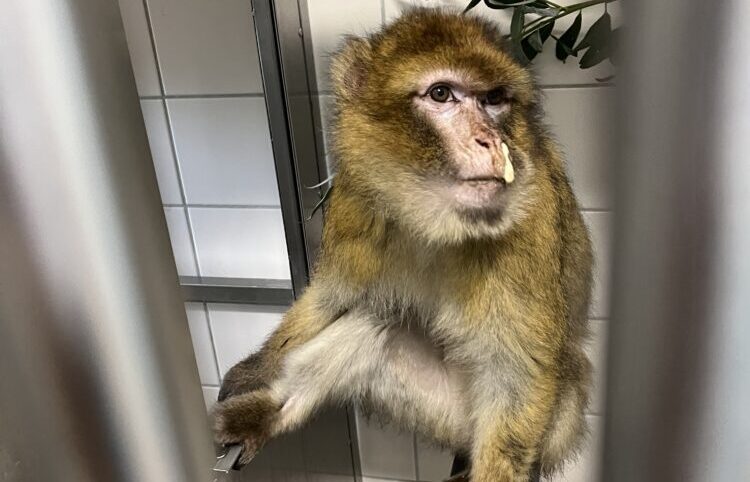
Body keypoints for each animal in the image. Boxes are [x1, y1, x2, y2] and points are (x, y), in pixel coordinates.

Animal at [213, 8, 594, 482]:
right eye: (441, 93)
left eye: (494, 99)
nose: (492, 142)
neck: (434, 220)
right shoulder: (355, 197)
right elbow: (333, 296)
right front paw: (255, 369)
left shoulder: (532, 216)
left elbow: (518, 372)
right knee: (374, 321)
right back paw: (266, 414)